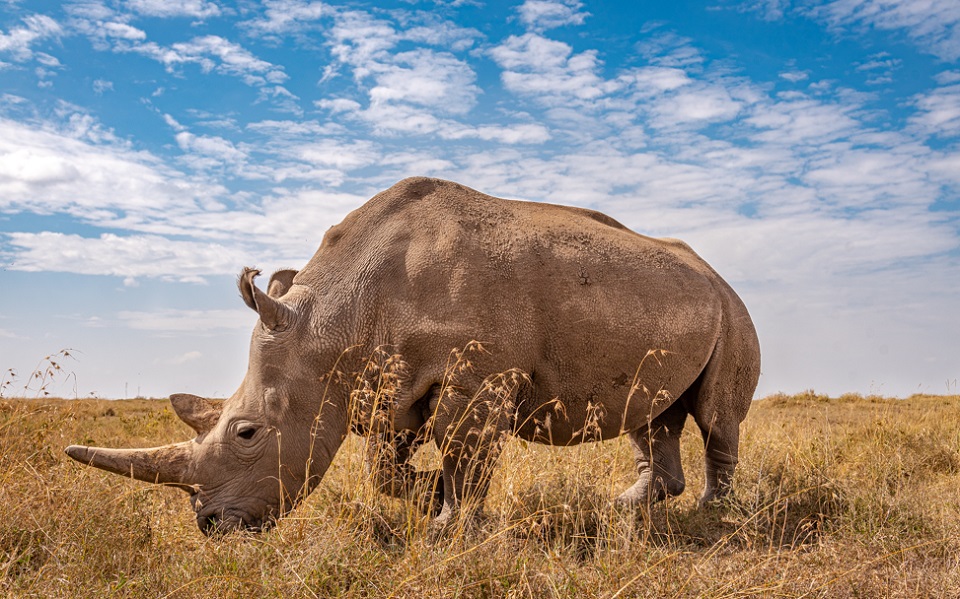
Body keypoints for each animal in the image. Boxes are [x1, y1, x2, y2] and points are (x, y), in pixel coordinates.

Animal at [65, 177, 760, 535]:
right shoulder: (383, 385)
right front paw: (429, 496)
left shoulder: (479, 379)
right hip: (664, 302)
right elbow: (386, 469)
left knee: (714, 416)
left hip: (730, 307)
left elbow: (464, 452)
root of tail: (715, 272)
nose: (210, 525)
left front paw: (447, 527)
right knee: (651, 414)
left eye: (246, 433)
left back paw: (713, 516)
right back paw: (623, 508)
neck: (333, 323)